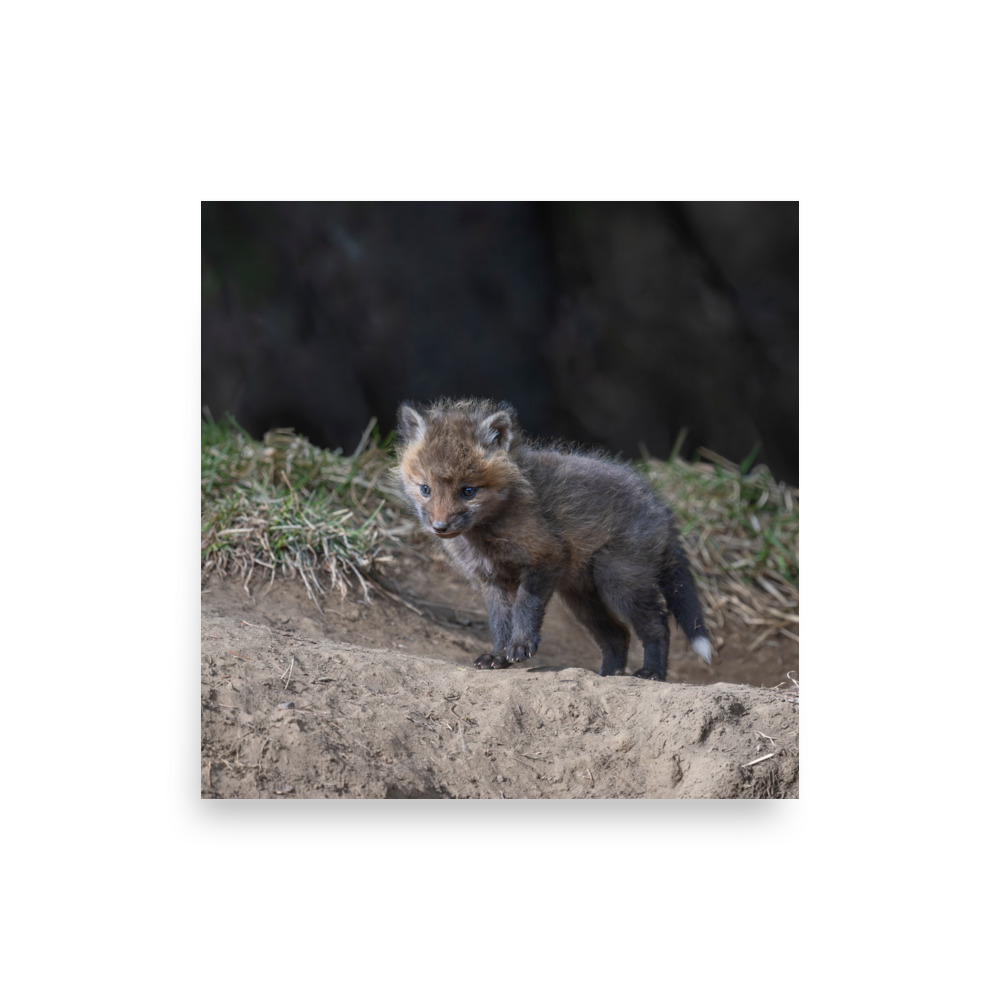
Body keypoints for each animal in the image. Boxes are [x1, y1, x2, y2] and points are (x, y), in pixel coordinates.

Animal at [395, 398, 712, 681]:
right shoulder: (492, 579)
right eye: (425, 489)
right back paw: (609, 675)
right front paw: (498, 656)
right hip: (582, 599)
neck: (487, 535)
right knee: (618, 635)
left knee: (658, 625)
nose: (440, 527)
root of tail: (660, 505)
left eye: (468, 491)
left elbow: (525, 607)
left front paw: (521, 646)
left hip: (619, 583)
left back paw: (652, 672)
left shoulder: (545, 558)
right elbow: (499, 622)